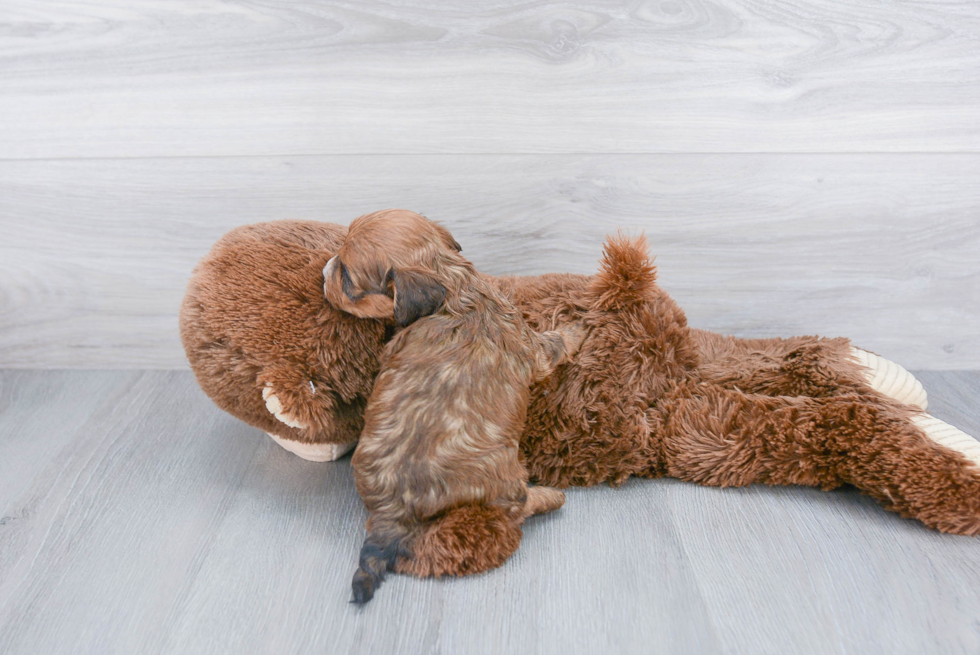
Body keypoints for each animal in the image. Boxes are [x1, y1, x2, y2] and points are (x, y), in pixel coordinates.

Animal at [322, 210, 584, 604]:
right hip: (506, 479)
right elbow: (556, 342)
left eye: (347, 279)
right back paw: (551, 496)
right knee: (519, 505)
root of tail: (391, 515)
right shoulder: (532, 347)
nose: (325, 268)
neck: (454, 286)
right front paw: (576, 330)